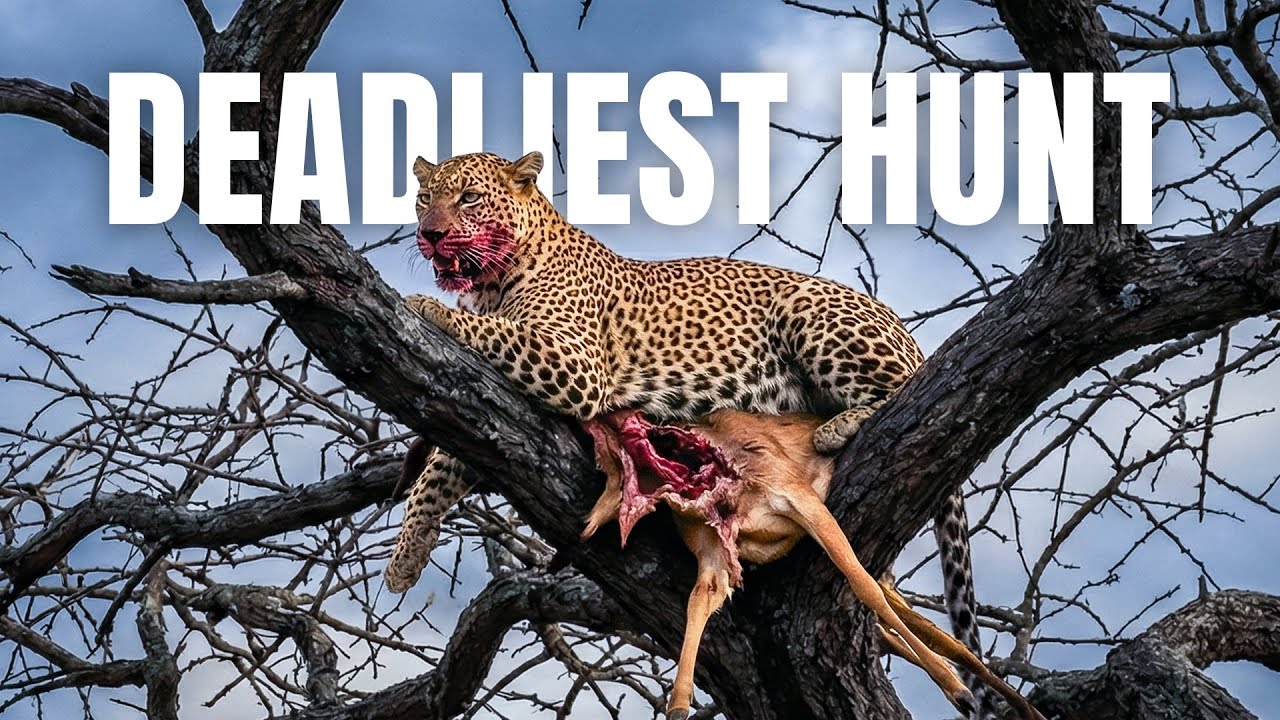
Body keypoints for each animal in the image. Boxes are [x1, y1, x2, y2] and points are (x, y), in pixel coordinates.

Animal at [384, 151, 993, 719]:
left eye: (468, 198)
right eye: (425, 199)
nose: (429, 234)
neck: (490, 281)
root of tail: (905, 331)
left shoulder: (574, 363)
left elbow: (488, 332)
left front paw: (425, 306)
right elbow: (446, 460)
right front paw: (406, 558)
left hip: (814, 315)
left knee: (912, 385)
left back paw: (840, 423)